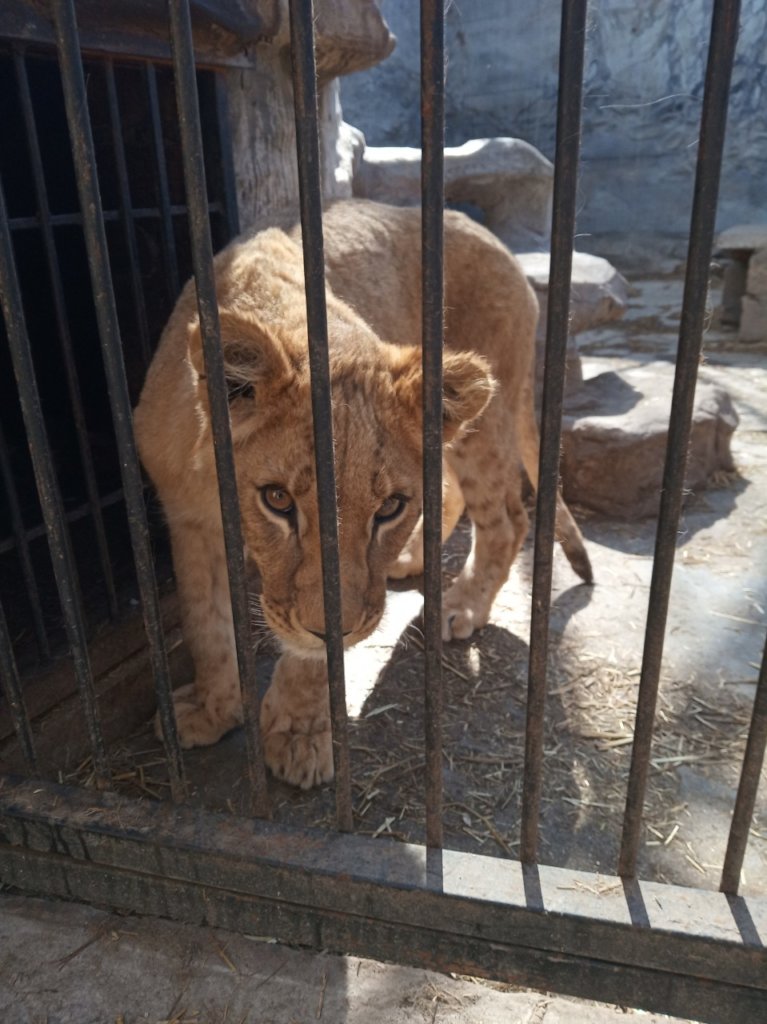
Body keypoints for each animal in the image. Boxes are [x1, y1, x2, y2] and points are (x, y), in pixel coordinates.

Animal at [134, 199, 592, 788]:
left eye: (389, 508)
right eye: (277, 500)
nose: (343, 631)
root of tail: (494, 239)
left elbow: (311, 649)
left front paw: (300, 733)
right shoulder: (188, 516)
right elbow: (203, 617)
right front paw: (212, 709)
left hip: (485, 415)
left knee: (507, 517)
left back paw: (461, 604)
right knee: (453, 492)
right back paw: (412, 560)